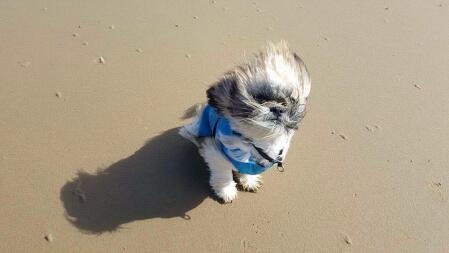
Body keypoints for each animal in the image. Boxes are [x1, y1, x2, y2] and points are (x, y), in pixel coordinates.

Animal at [178, 42, 308, 204]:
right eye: (259, 99)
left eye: (287, 102)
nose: (277, 108)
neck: (258, 144)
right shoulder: (215, 151)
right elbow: (223, 172)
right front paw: (226, 191)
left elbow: (248, 172)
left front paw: (249, 181)